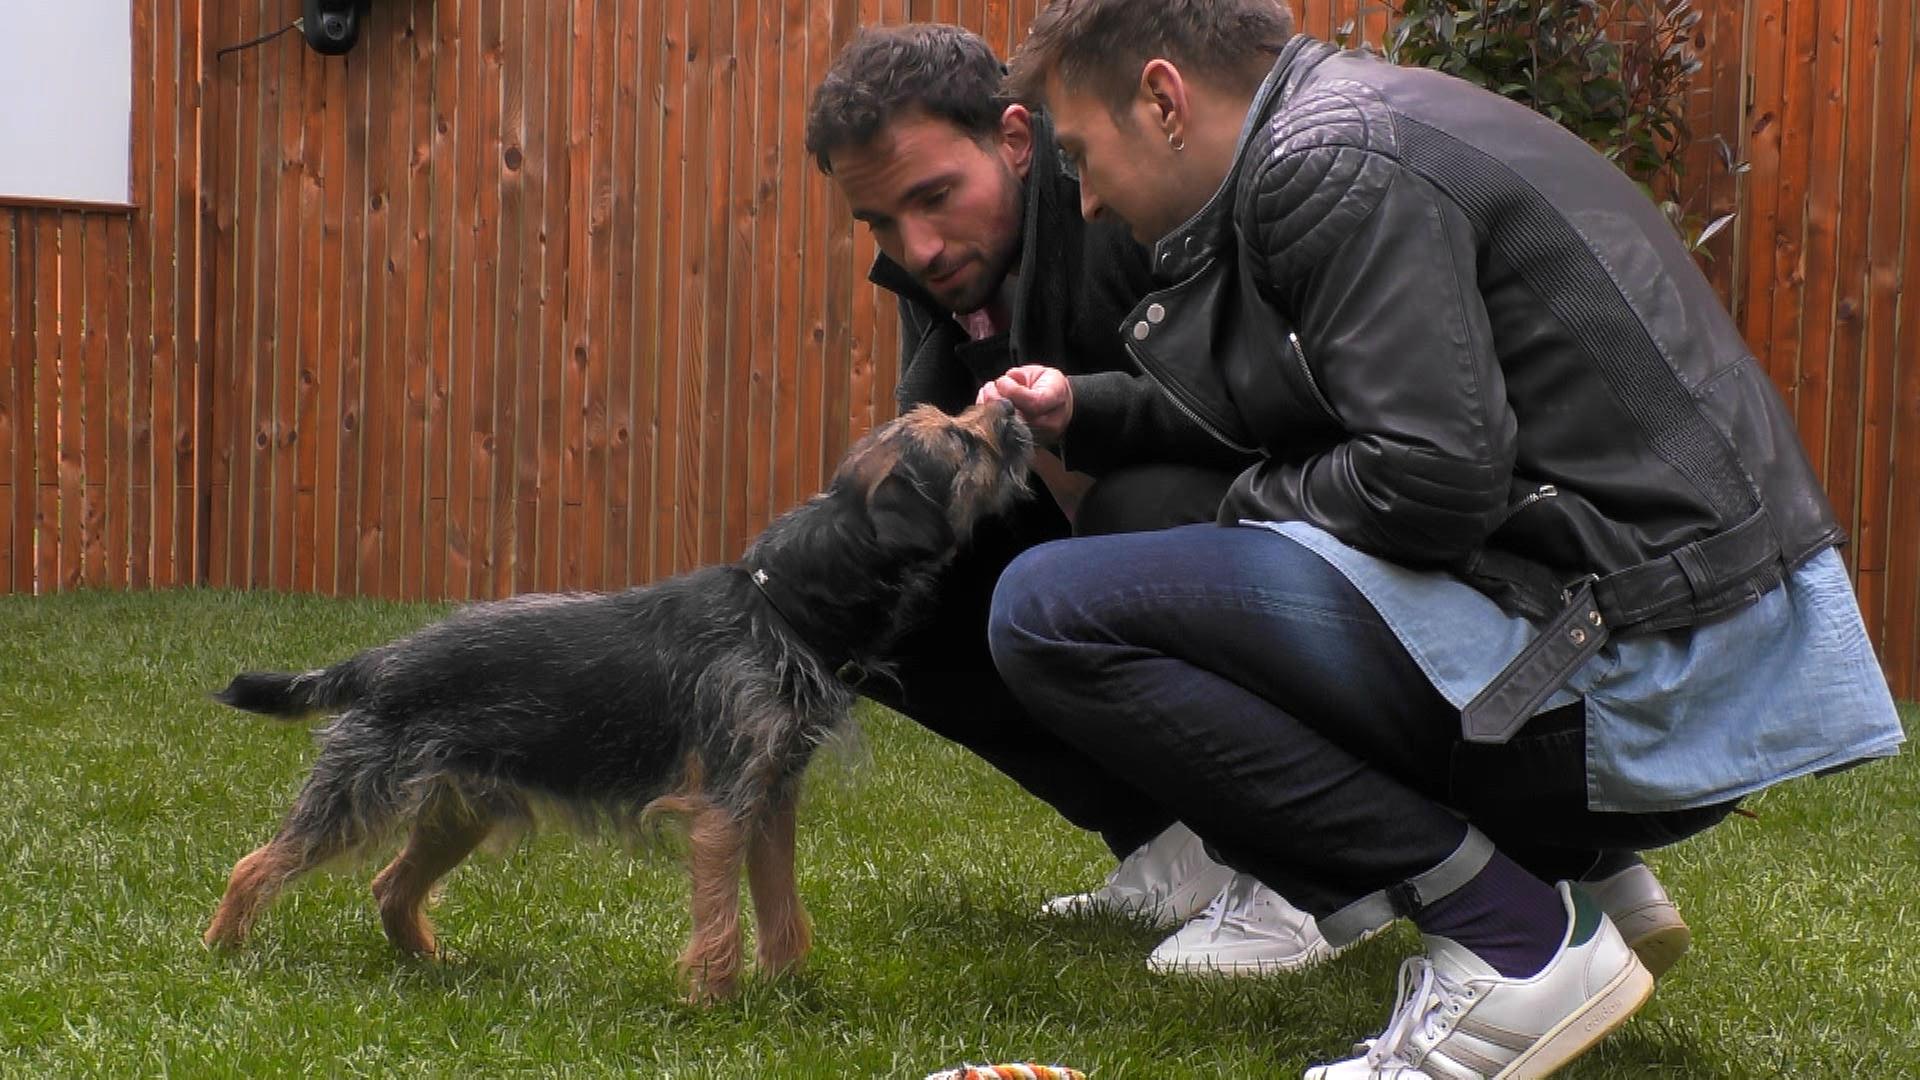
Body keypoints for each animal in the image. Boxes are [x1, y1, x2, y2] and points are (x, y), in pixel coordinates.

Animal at [202, 400, 1032, 1001]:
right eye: (962, 441)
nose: (1011, 407)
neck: (779, 605)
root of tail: (377, 662)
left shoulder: (771, 797)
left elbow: (780, 905)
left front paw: (789, 993)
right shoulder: (722, 807)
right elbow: (720, 913)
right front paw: (716, 1002)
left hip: (460, 810)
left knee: (390, 888)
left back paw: (433, 967)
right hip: (357, 796)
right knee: (255, 864)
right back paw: (223, 952)